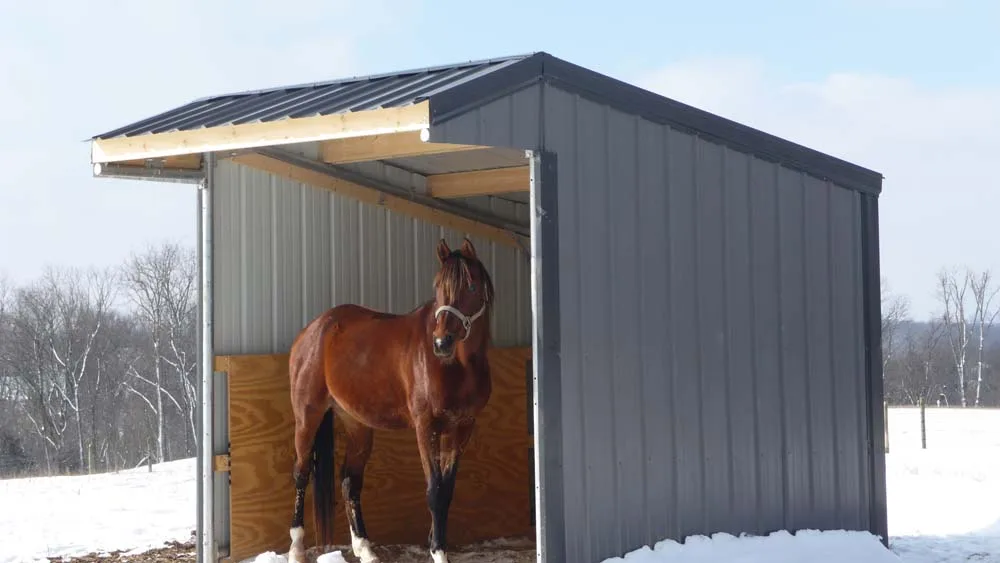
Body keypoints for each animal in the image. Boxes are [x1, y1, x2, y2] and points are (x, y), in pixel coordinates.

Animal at [286, 238, 496, 563]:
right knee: (301, 472)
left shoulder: (462, 428)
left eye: (472, 286)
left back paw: (365, 549)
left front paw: (436, 542)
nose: (441, 343)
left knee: (349, 481)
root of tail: (313, 330)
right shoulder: (426, 427)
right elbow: (434, 492)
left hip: (357, 424)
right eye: (438, 286)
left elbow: (446, 491)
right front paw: (438, 551)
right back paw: (296, 549)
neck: (457, 366)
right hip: (308, 415)